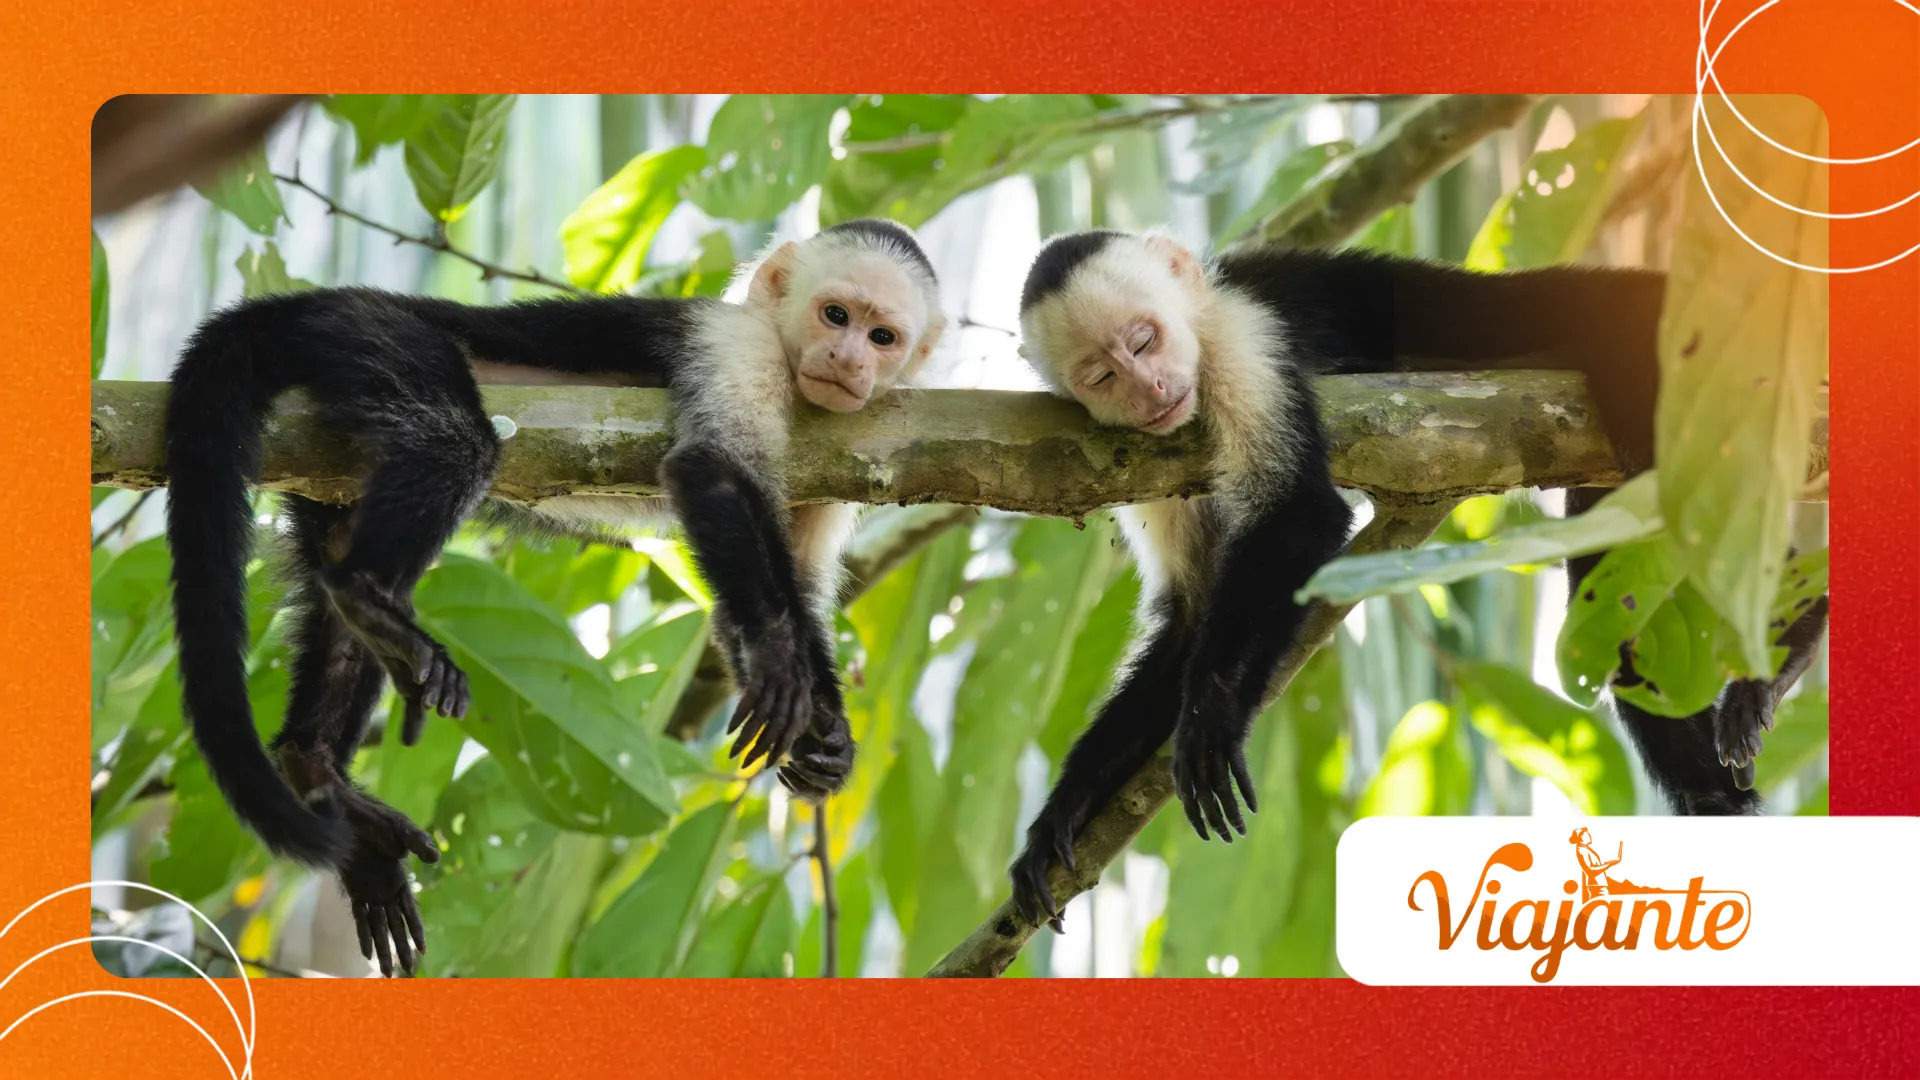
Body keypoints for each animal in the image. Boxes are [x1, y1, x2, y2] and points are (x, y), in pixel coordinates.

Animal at [162, 218, 945, 974]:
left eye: (882, 337)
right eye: (834, 314)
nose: (847, 358)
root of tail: (320, 300)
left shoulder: (844, 444)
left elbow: (781, 595)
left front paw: (826, 736)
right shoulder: (734, 344)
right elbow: (712, 468)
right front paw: (783, 665)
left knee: (339, 558)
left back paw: (317, 761)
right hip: (364, 334)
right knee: (453, 438)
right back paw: (370, 599)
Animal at [1005, 229, 1828, 928]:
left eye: (1144, 338)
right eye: (1102, 374)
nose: (1148, 389)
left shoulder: (1243, 340)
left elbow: (1301, 514)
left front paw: (1212, 718)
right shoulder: (1146, 457)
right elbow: (1191, 615)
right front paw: (1063, 810)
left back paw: (1789, 643)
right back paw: (1713, 796)